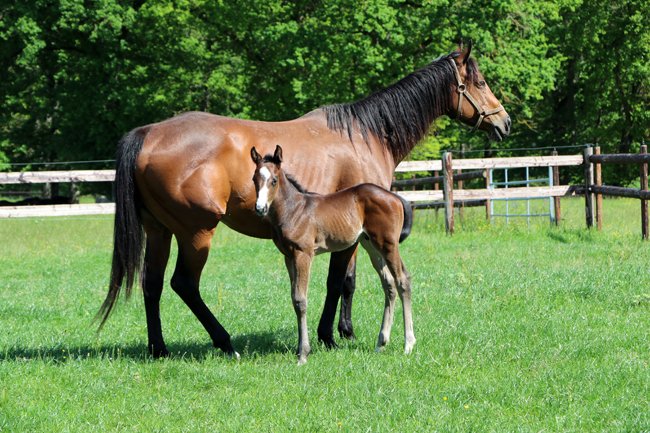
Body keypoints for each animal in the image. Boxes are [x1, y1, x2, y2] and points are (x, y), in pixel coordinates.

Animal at [251, 145, 415, 365]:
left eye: (274, 180)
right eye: (254, 179)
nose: (260, 208)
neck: (294, 210)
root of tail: (395, 197)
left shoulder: (303, 254)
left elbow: (301, 300)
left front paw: (303, 354)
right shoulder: (288, 257)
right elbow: (294, 299)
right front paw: (300, 350)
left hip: (387, 244)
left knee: (402, 280)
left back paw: (408, 344)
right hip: (371, 245)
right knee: (389, 284)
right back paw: (381, 343)